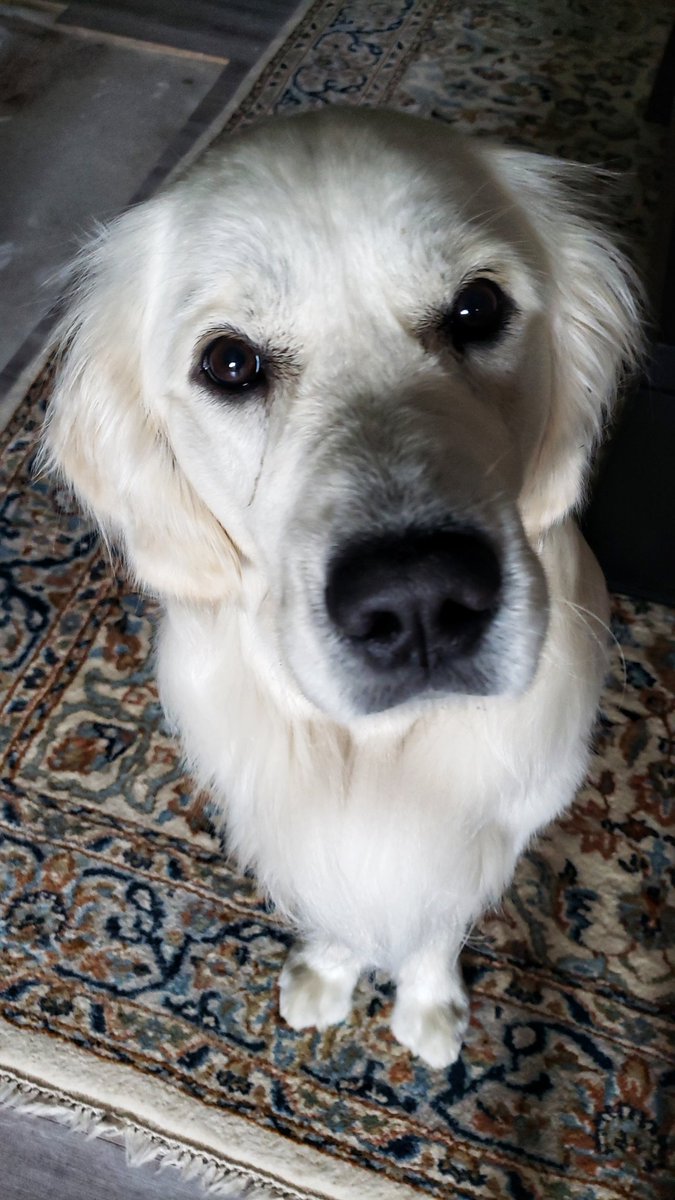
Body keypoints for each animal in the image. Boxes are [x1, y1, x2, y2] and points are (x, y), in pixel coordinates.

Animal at [39, 110, 638, 1070]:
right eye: (230, 363)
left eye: (477, 308)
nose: (421, 600)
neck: (378, 752)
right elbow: (339, 909)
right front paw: (328, 972)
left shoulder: (493, 831)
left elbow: (432, 923)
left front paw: (427, 1006)